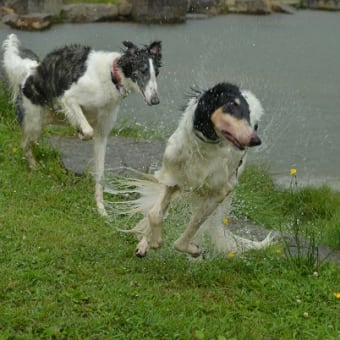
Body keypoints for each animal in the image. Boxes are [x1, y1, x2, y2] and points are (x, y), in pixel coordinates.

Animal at [2, 33, 162, 215]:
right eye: (142, 70)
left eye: (156, 73)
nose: (155, 100)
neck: (111, 76)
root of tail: (32, 71)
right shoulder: (69, 98)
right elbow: (87, 130)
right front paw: (81, 133)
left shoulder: (102, 134)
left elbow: (100, 174)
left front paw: (101, 209)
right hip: (34, 121)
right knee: (25, 143)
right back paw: (34, 166)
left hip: (51, 116)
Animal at [113, 83, 274, 258]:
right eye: (232, 106)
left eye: (249, 115)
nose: (256, 140)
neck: (205, 145)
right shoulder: (173, 178)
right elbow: (155, 214)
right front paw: (153, 242)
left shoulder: (219, 191)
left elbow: (192, 226)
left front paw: (193, 249)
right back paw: (144, 244)